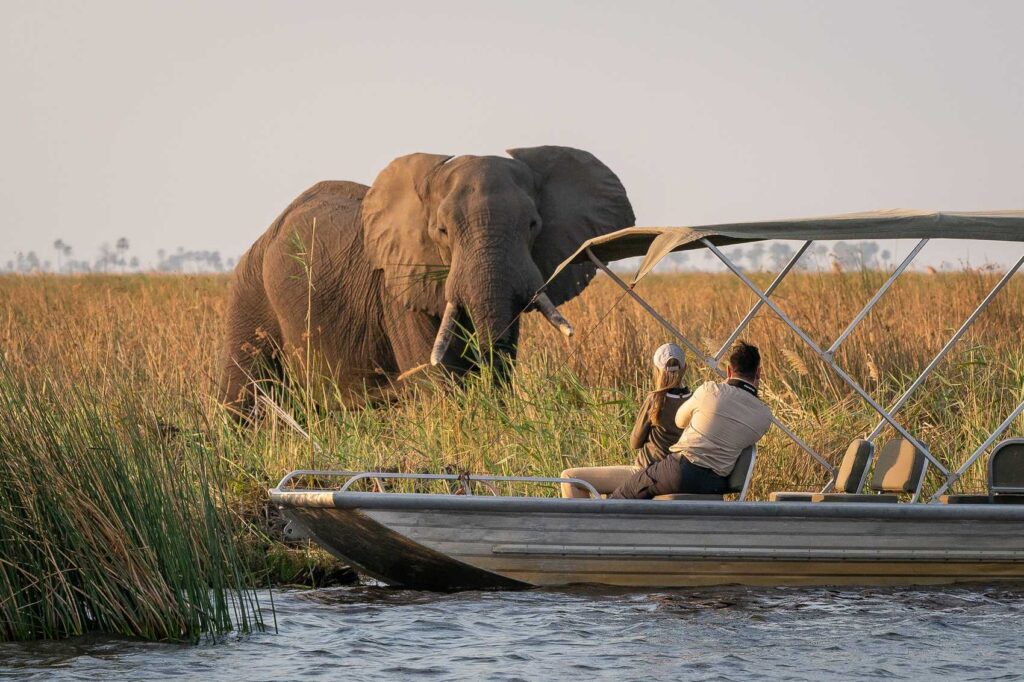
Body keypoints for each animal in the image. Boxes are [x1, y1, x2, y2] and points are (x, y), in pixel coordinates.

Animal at [219, 145, 635, 416]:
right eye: (442, 231)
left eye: (533, 225)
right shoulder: (396, 290)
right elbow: (437, 377)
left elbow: (502, 362)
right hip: (250, 290)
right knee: (245, 399)